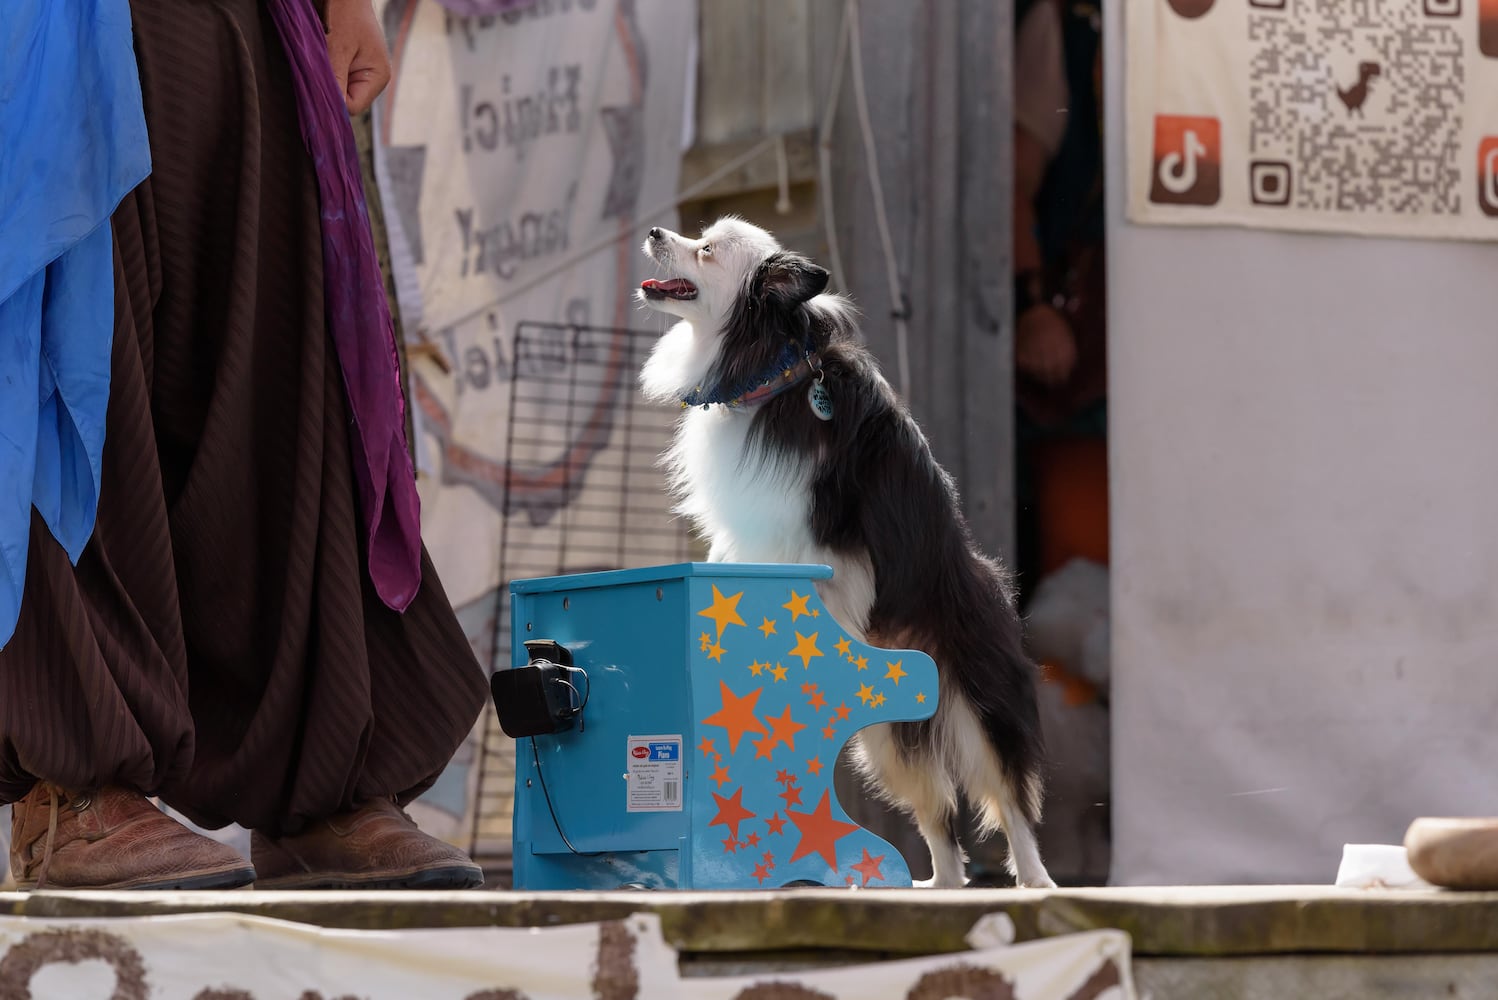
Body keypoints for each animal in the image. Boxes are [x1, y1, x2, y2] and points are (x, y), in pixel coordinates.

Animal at [638, 218, 1060, 892]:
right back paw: (937, 885)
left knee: (1009, 799)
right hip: (889, 741)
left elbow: (818, 574)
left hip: (979, 712)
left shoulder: (818, 534)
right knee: (940, 818)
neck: (770, 368)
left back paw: (1037, 880)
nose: (655, 230)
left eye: (705, 250)